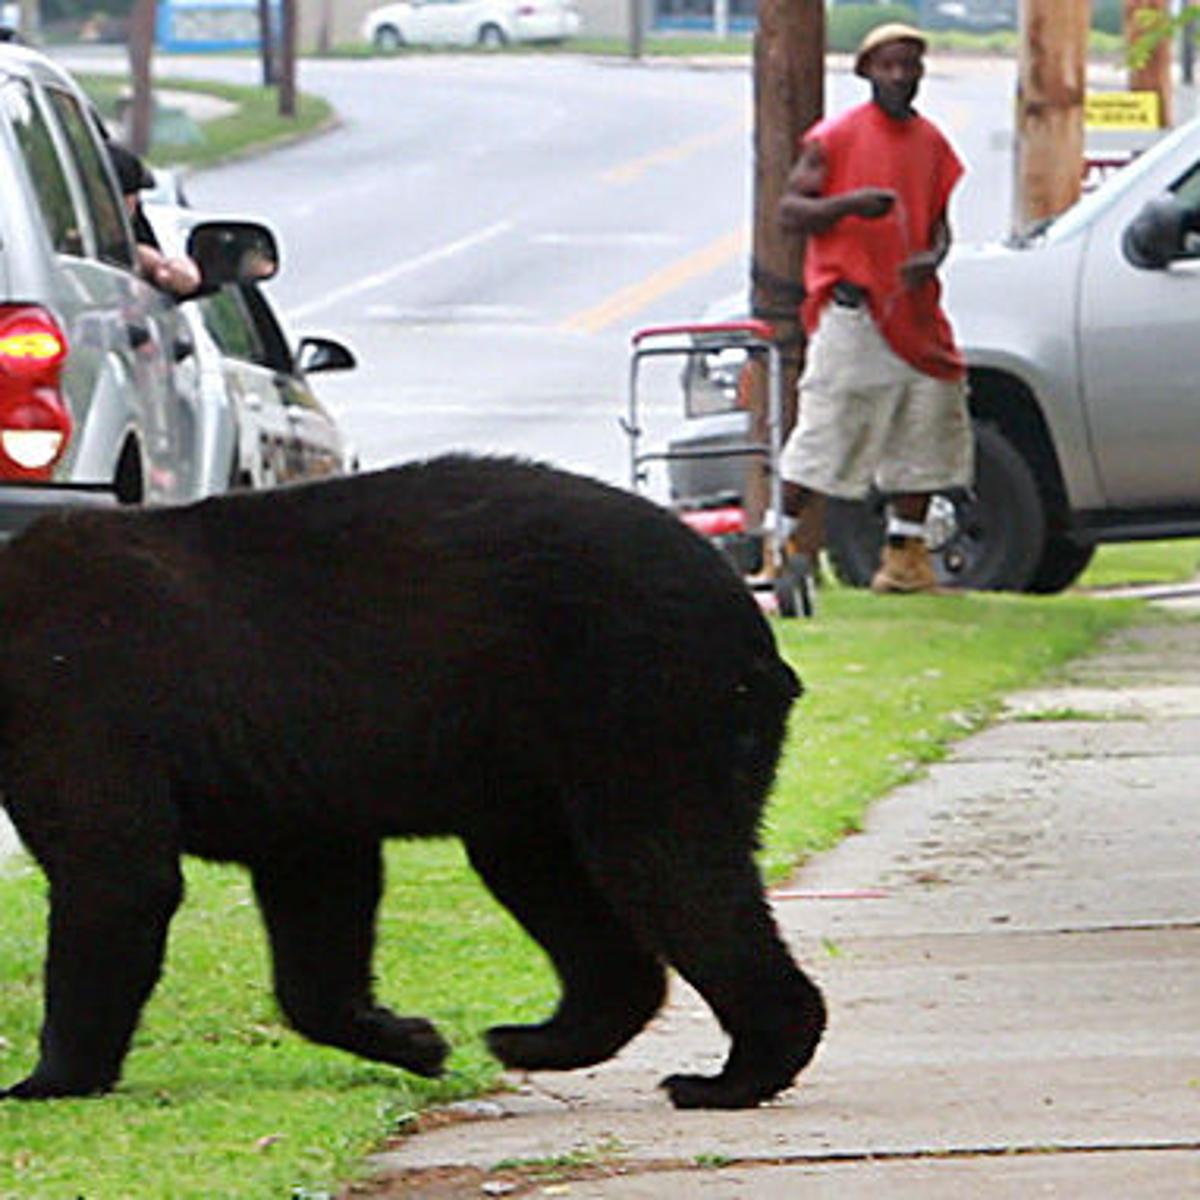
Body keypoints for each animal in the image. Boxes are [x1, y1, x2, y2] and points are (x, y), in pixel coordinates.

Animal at [0, 456, 825, 1104]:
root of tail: (754, 628)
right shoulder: (291, 796)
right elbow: (316, 895)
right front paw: (414, 1039)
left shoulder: (72, 696)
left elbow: (115, 874)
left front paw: (46, 1080)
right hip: (533, 781)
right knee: (556, 881)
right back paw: (537, 1038)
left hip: (646, 707)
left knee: (671, 864)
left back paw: (735, 1074)